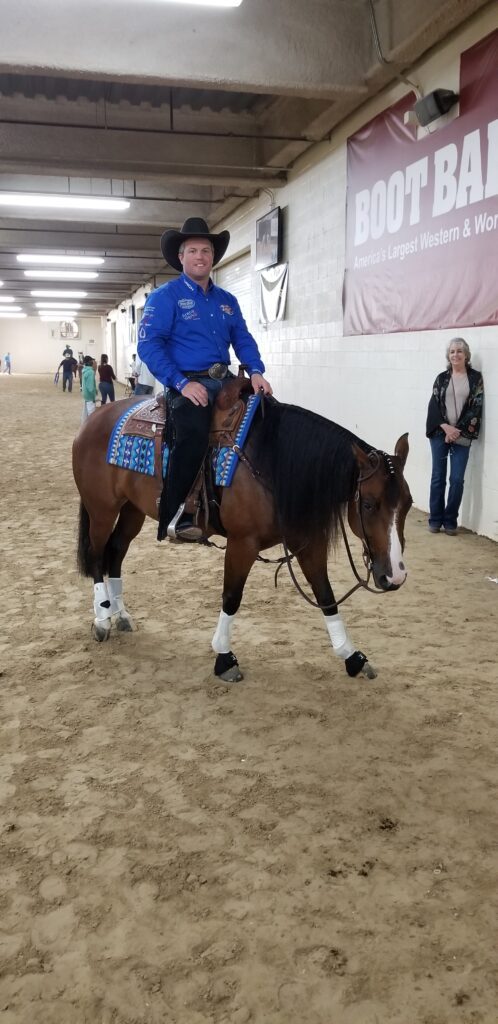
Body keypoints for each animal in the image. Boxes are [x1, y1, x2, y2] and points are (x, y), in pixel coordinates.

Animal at [72, 382, 412, 683]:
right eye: (368, 504)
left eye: (407, 504)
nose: (395, 576)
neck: (272, 460)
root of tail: (93, 420)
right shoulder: (242, 544)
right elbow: (232, 597)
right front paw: (224, 658)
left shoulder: (306, 543)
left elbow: (326, 596)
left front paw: (352, 657)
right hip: (101, 510)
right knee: (97, 556)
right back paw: (102, 619)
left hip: (132, 510)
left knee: (115, 552)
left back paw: (121, 615)